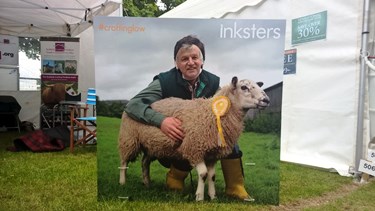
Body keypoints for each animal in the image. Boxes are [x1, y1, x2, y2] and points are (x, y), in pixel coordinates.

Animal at [119, 76, 268, 201]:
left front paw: (213, 196)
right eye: (244, 87)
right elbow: (203, 174)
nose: (266, 100)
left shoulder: (212, 154)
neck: (213, 113)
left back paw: (147, 183)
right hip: (129, 139)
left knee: (144, 162)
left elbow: (212, 176)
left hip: (151, 145)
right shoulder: (195, 148)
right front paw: (199, 197)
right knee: (124, 162)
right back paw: (122, 182)